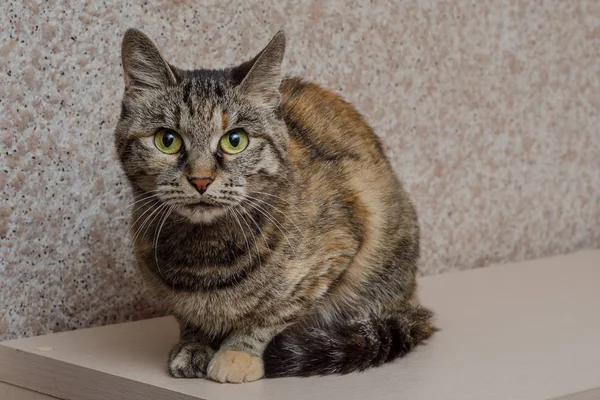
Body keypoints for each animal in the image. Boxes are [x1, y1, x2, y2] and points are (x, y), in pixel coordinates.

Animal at [115, 28, 436, 384]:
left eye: (235, 140)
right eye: (167, 140)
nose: (200, 179)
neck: (204, 255)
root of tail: (412, 300)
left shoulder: (336, 249)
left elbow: (271, 313)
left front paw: (237, 353)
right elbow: (190, 316)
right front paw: (194, 344)